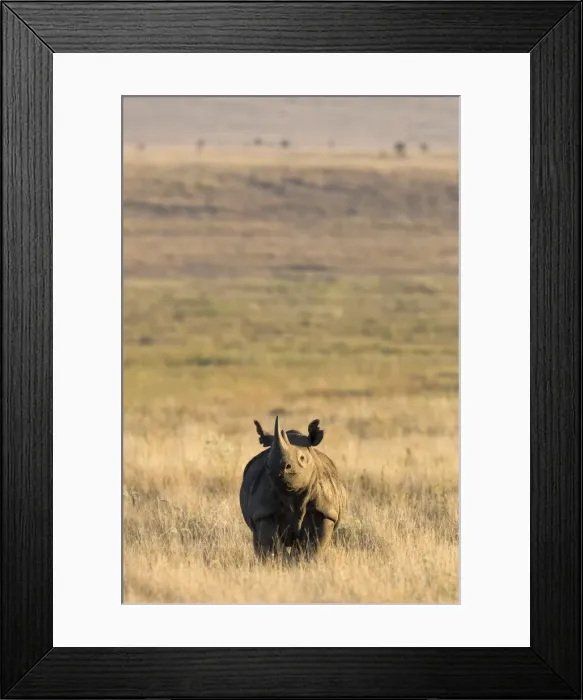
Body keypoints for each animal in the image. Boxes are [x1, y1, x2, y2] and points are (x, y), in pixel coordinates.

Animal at [240, 416, 347, 559]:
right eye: (267, 461)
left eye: (302, 458)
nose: (278, 468)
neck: (292, 493)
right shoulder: (263, 513)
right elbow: (272, 545)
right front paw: (278, 562)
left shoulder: (325, 511)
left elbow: (315, 544)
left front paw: (307, 561)